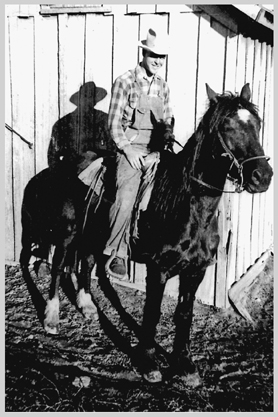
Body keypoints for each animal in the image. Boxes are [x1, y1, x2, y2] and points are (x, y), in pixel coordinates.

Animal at [20, 83, 272, 386]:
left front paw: (185, 365)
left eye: (257, 124)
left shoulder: (195, 271)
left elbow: (184, 315)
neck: (186, 207)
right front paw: (149, 362)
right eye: (226, 126)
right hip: (67, 234)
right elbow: (152, 313)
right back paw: (52, 318)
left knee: (87, 263)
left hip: (93, 232)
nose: (263, 176)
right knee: (58, 268)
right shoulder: (158, 269)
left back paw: (87, 306)